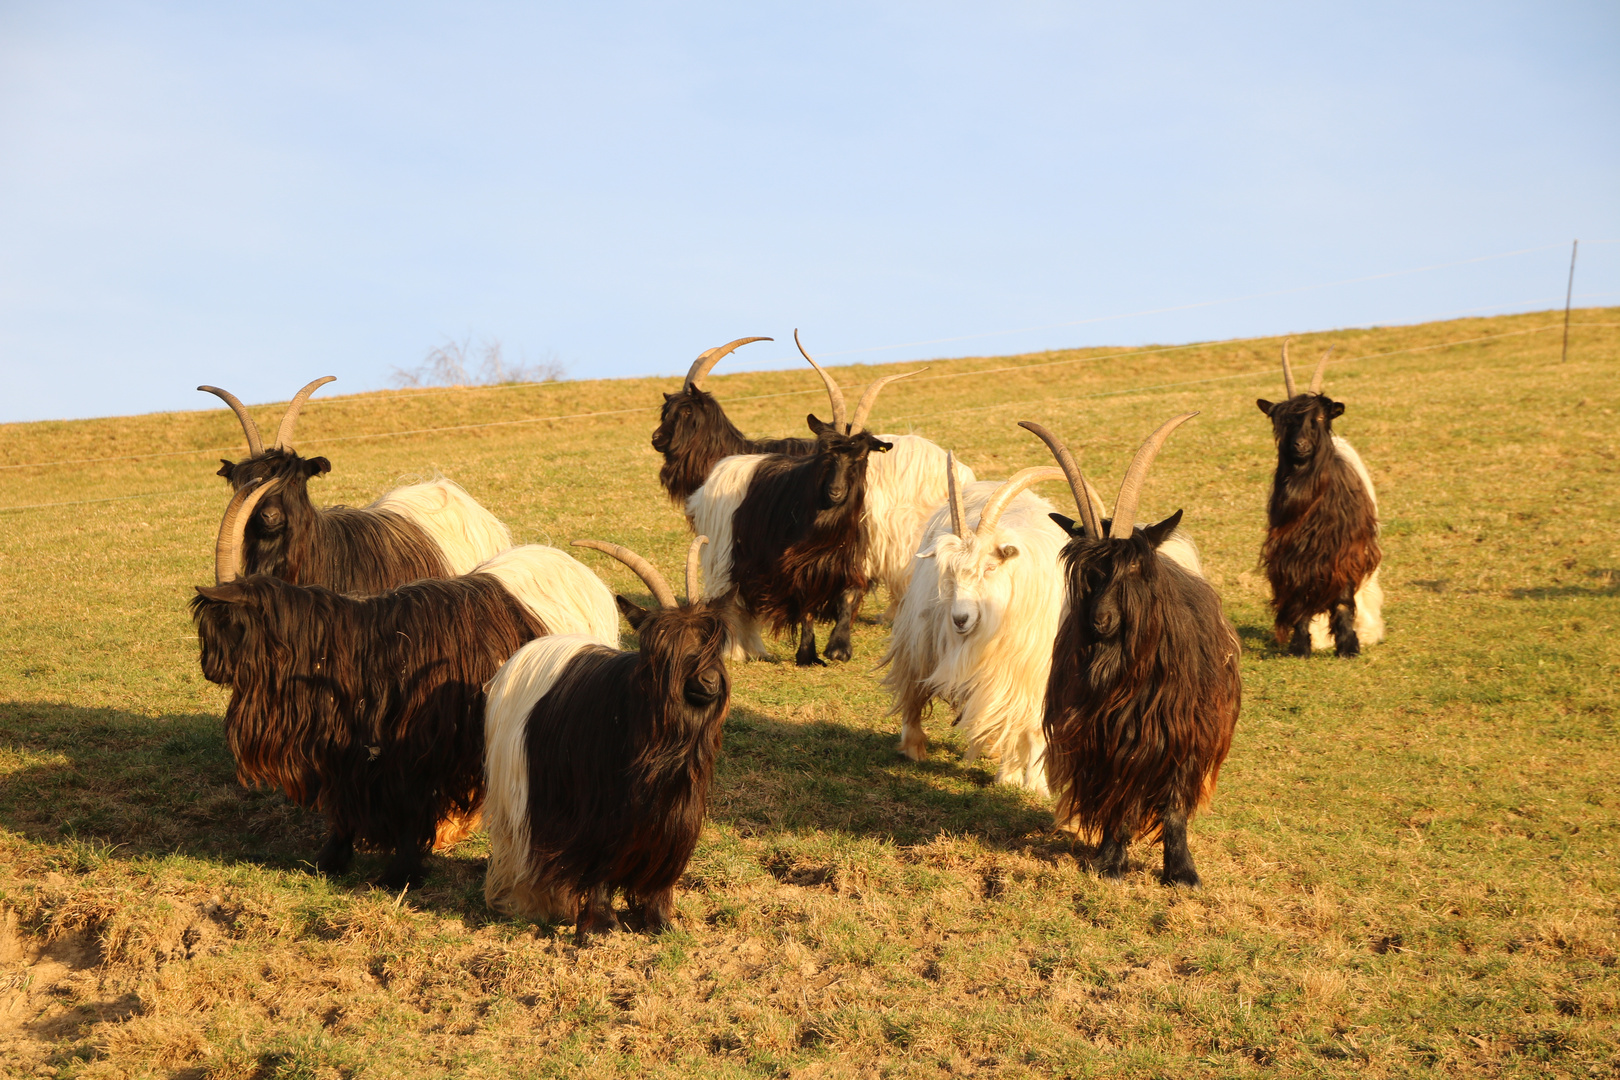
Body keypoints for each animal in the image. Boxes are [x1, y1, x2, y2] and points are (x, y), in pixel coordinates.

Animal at [191, 479, 618, 887]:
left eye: (226, 622)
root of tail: (574, 568)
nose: (210, 668)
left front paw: (402, 873)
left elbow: (410, 810)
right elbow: (343, 809)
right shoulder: (348, 756)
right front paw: (330, 860)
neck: (347, 648)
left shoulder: (411, 752)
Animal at [479, 537, 735, 939]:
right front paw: (600, 924)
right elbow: (597, 863)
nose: (709, 682)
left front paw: (659, 920)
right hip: (517, 789)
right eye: (664, 646)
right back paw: (523, 902)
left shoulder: (676, 813)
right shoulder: (597, 809)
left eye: (712, 641)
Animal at [1023, 414, 1237, 887]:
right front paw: (1109, 862)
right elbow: (1118, 800)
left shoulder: (1181, 734)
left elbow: (1173, 805)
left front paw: (1183, 872)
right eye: (1088, 571)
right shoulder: (1104, 738)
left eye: (1135, 566)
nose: (1100, 621)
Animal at [1257, 341, 1386, 660]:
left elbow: (1342, 598)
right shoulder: (1293, 554)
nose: (1300, 446)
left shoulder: (1344, 550)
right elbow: (1299, 598)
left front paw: (1348, 646)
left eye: (1318, 418)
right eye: (1283, 421)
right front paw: (1301, 645)